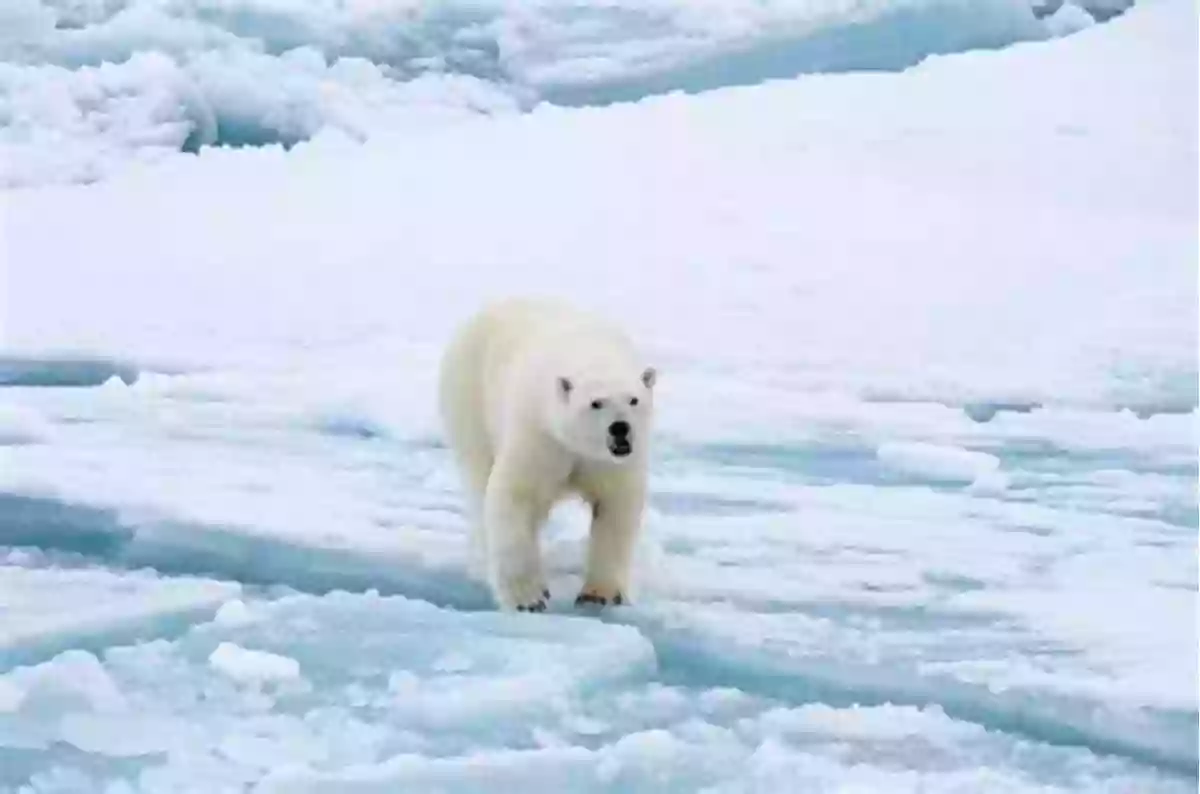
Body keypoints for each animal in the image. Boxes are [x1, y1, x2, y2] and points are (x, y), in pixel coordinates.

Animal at [436, 298, 657, 614]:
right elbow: (515, 495)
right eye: (596, 403)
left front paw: (599, 594)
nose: (620, 428)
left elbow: (616, 507)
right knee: (478, 479)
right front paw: (529, 598)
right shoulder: (539, 435)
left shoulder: (610, 462)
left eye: (633, 399)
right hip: (469, 401)